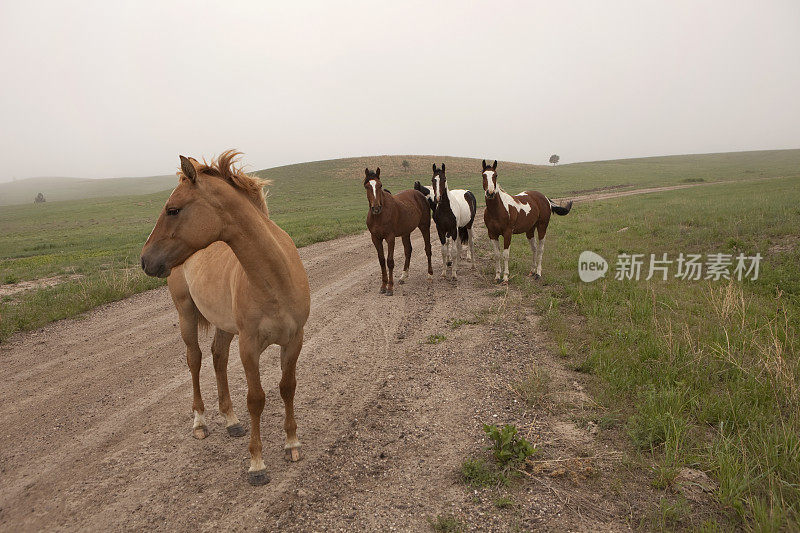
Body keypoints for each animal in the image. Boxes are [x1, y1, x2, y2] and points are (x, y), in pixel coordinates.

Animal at [141, 151, 310, 486]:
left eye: (173, 210)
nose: (145, 259)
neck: (276, 279)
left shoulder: (293, 340)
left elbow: (287, 387)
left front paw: (292, 444)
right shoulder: (249, 347)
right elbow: (256, 399)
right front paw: (257, 464)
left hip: (223, 325)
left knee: (218, 358)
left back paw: (231, 420)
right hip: (186, 314)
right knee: (194, 360)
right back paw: (200, 421)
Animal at [366, 167, 434, 296]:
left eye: (380, 185)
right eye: (367, 186)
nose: (376, 208)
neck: (379, 216)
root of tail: (419, 194)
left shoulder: (390, 238)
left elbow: (390, 261)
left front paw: (390, 288)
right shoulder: (375, 238)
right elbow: (381, 261)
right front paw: (383, 286)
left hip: (424, 226)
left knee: (428, 248)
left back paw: (430, 275)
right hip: (406, 232)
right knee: (408, 250)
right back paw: (403, 276)